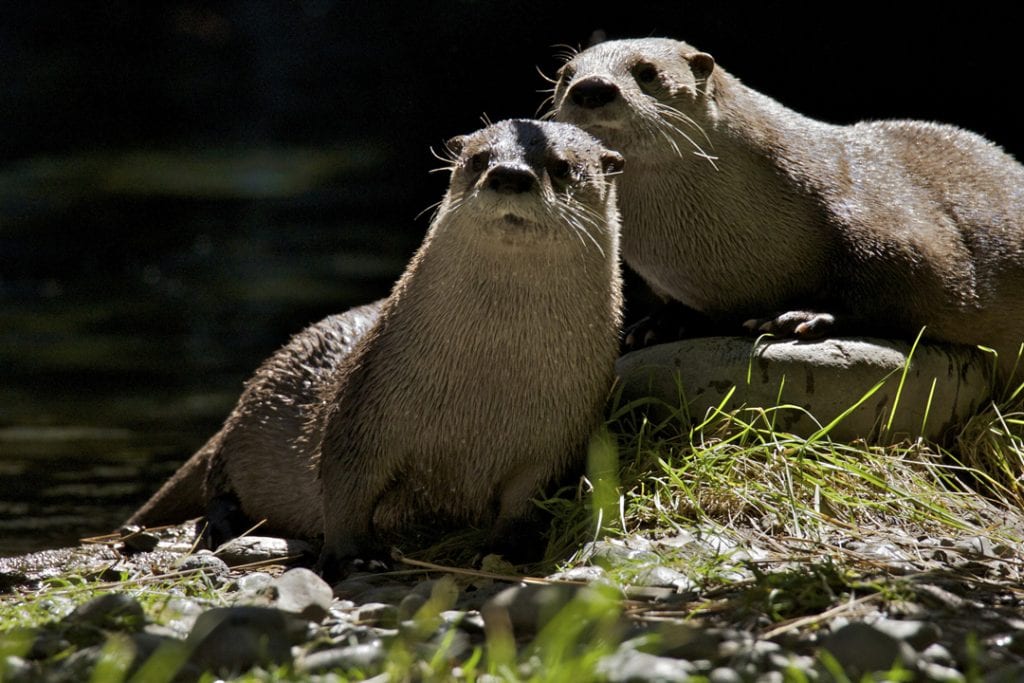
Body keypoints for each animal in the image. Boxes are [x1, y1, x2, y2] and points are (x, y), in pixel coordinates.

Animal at [128, 120, 622, 581]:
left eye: (562, 166)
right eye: (479, 159)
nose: (509, 175)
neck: (485, 391)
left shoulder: (560, 436)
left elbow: (527, 503)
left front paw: (508, 550)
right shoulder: (365, 404)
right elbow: (346, 484)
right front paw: (354, 556)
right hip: (244, 430)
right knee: (218, 484)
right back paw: (225, 525)